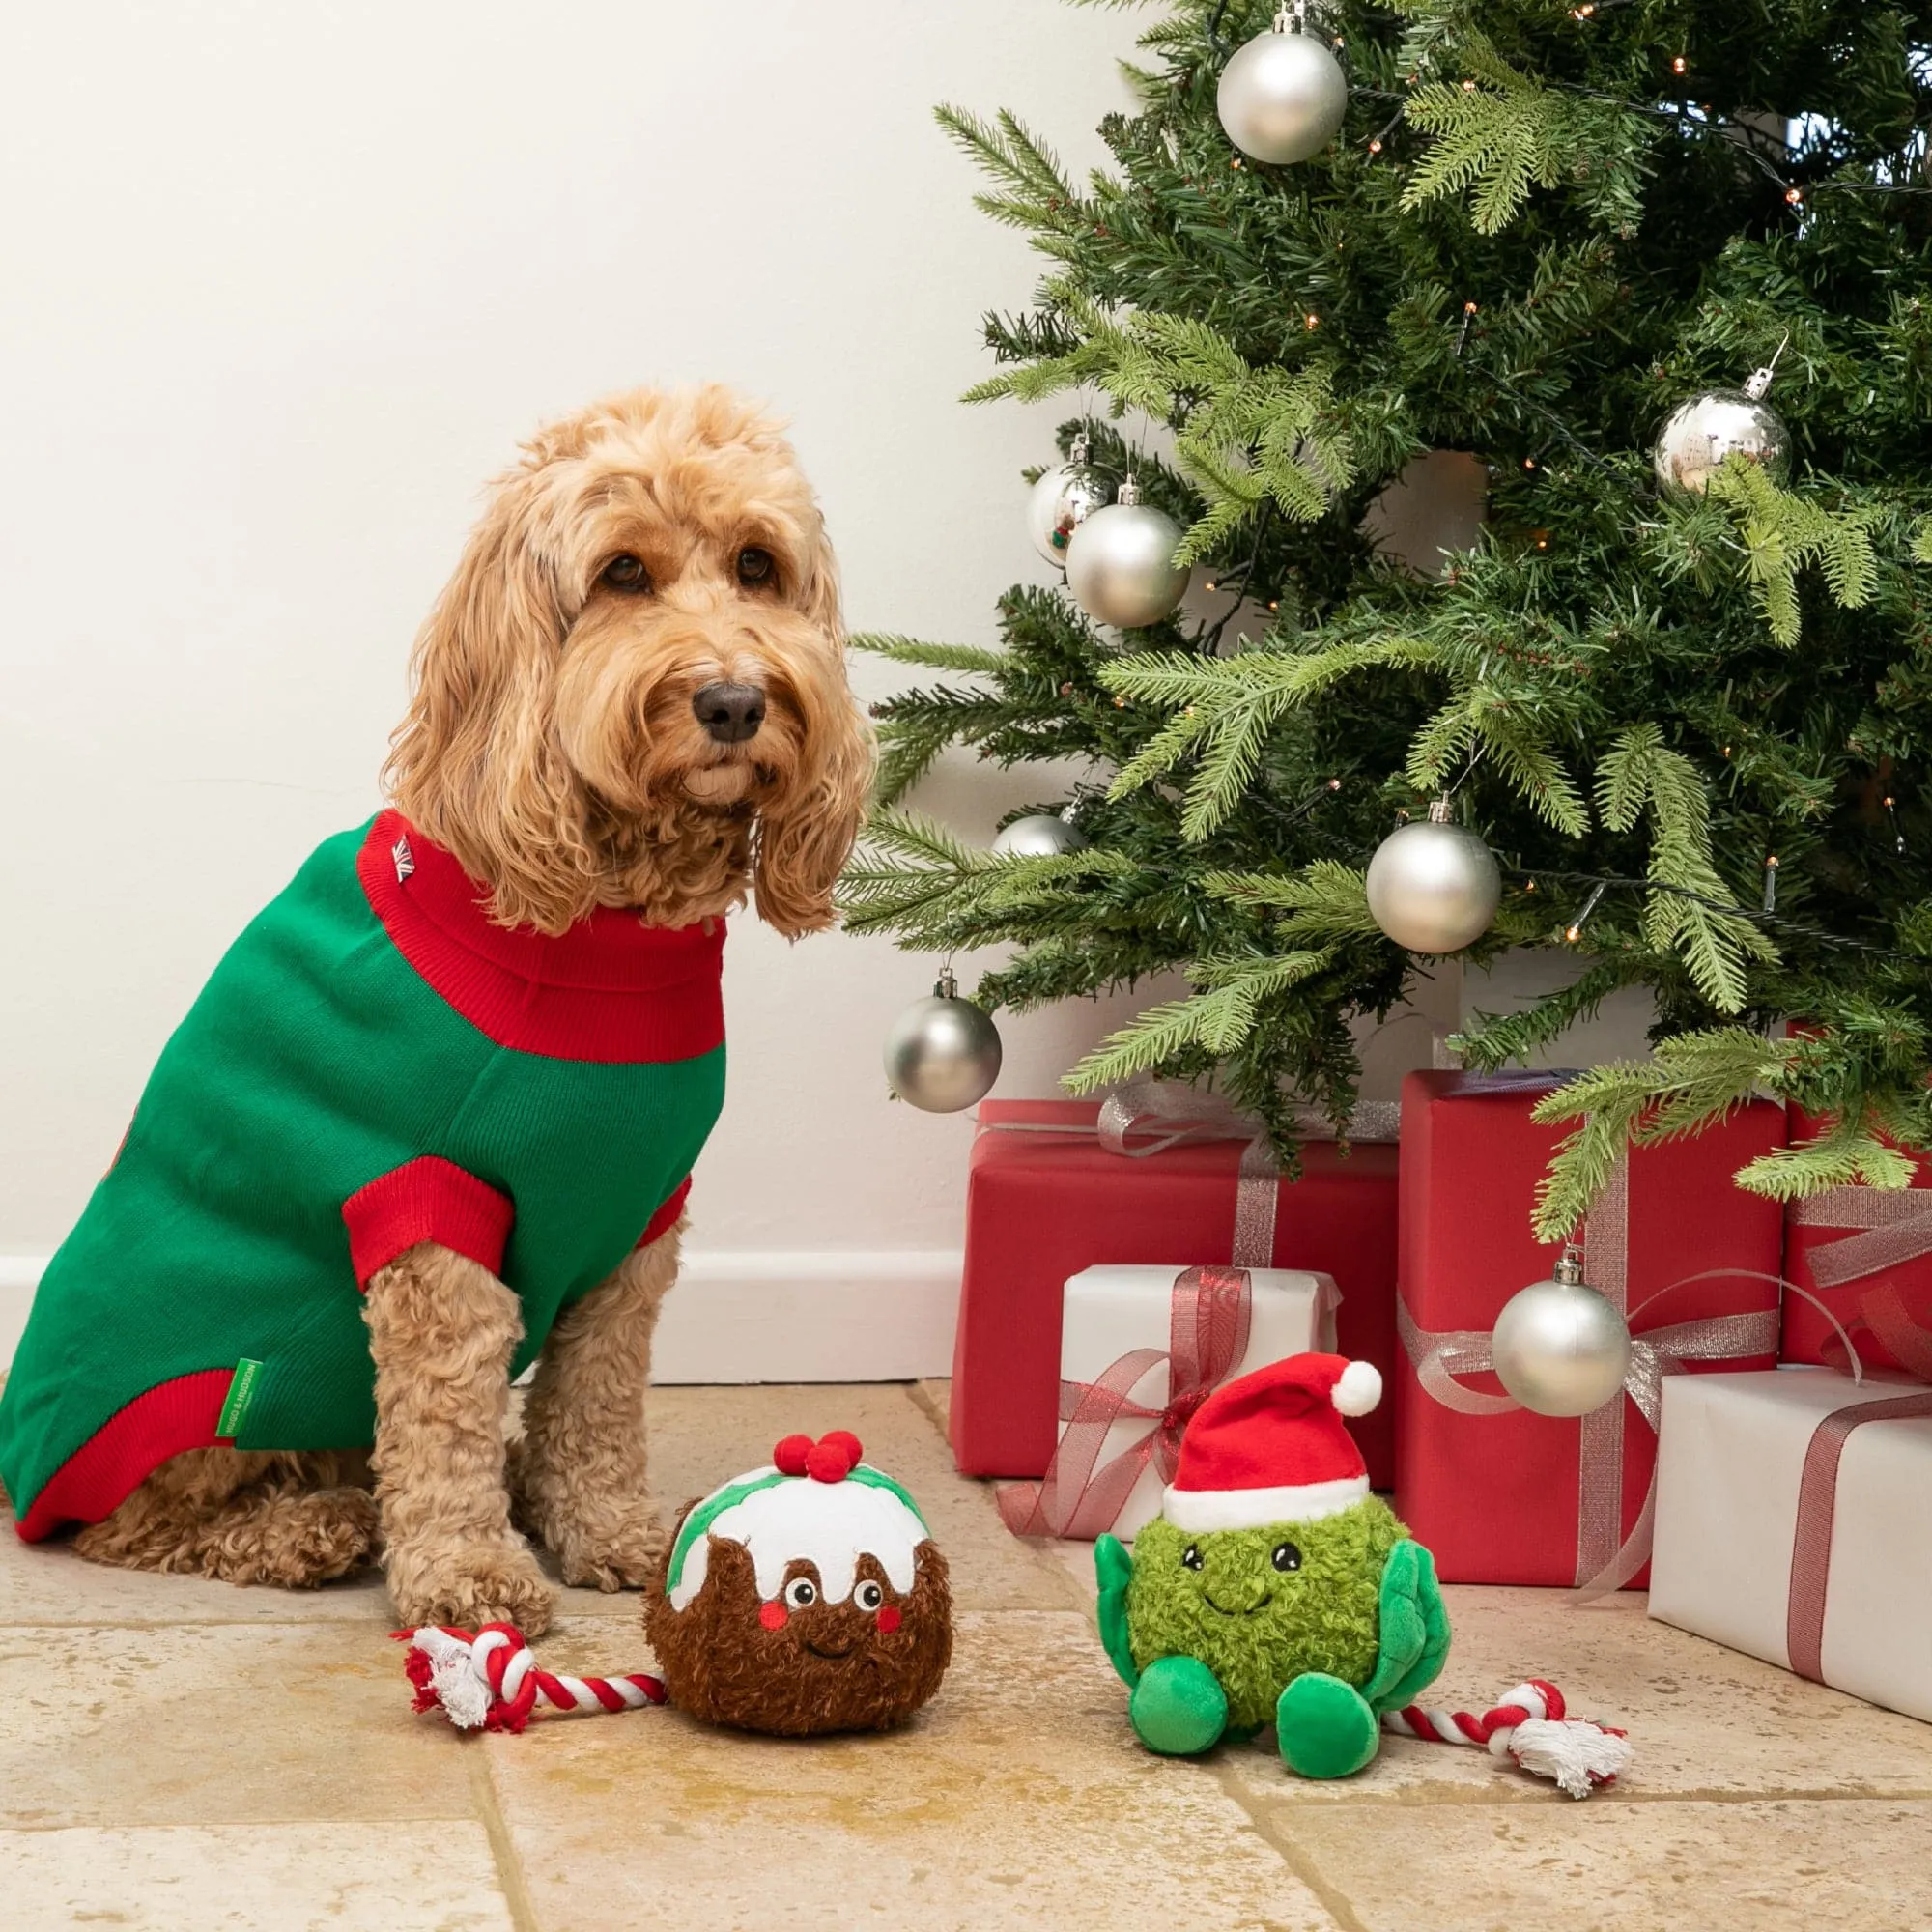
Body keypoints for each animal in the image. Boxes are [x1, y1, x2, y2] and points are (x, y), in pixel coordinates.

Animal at [0, 384, 869, 1638]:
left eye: (757, 564)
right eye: (621, 574)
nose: (733, 699)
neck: (603, 930)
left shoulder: (637, 1223)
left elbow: (595, 1401)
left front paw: (603, 1528)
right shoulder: (430, 1214)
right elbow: (445, 1417)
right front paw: (469, 1570)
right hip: (194, 1402)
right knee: (137, 1523)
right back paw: (307, 1526)